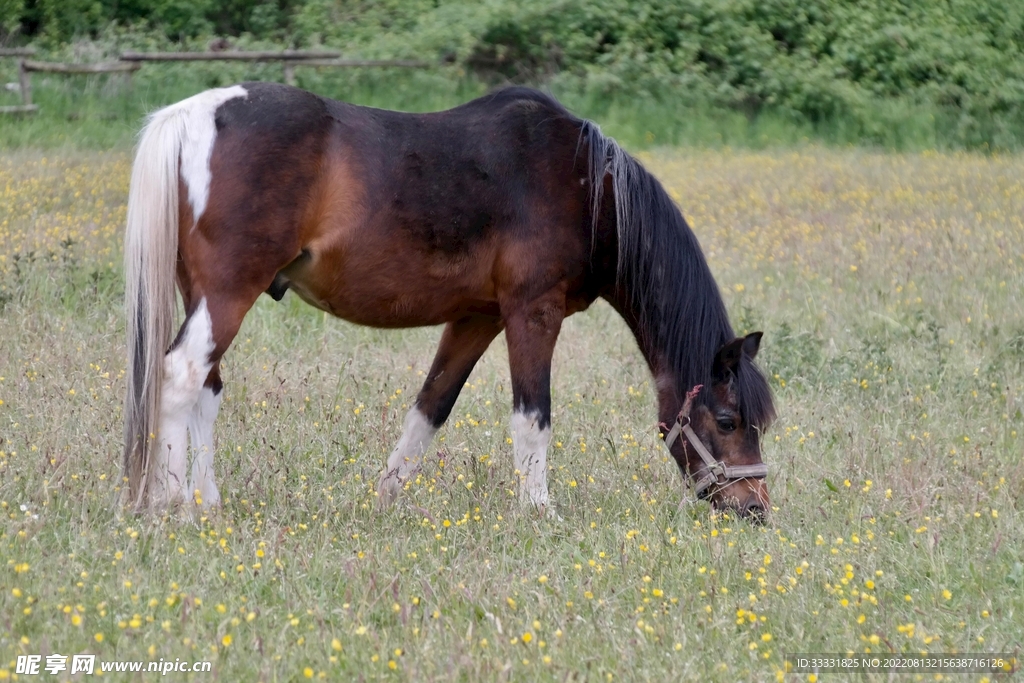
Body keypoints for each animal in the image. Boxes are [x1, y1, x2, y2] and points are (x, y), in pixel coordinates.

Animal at [122, 83, 776, 520]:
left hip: (205, 295)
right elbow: (532, 417)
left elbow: (429, 409)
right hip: (229, 293)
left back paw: (208, 505)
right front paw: (540, 514)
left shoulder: (475, 318)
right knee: (180, 376)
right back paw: (173, 503)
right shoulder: (532, 313)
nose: (754, 506)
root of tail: (193, 116)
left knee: (207, 388)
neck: (586, 186)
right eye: (727, 420)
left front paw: (384, 500)